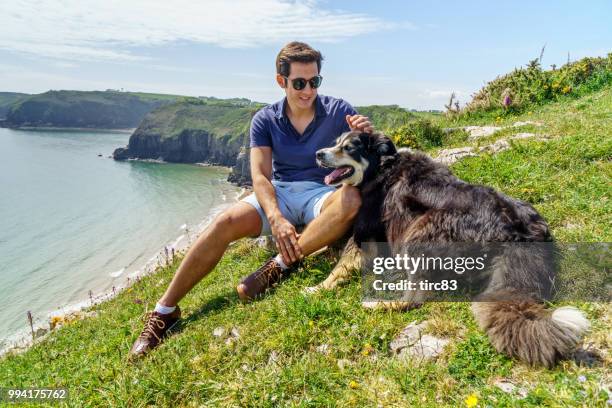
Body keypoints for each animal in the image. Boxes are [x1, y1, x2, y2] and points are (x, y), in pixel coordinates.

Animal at [314, 132, 592, 368]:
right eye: (335, 142)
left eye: (348, 147)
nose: (318, 153)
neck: (381, 167)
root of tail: (515, 232)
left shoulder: (364, 234)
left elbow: (340, 267)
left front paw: (316, 289)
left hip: (419, 232)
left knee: (415, 298)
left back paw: (378, 304)